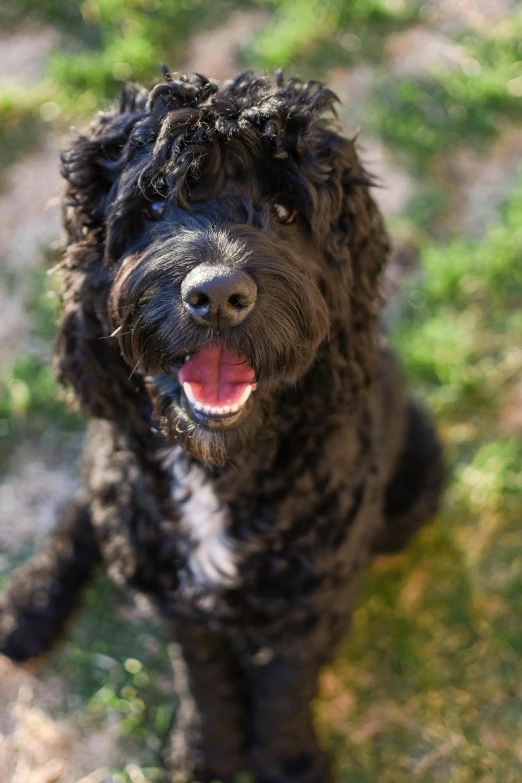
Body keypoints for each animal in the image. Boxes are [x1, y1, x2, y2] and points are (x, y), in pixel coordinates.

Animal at [0, 69, 442, 783]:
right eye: (154, 205)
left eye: (287, 212)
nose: (216, 296)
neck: (220, 467)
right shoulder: (177, 599)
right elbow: (204, 675)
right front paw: (208, 749)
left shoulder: (309, 603)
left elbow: (287, 682)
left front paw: (287, 757)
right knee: (85, 509)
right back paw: (30, 602)